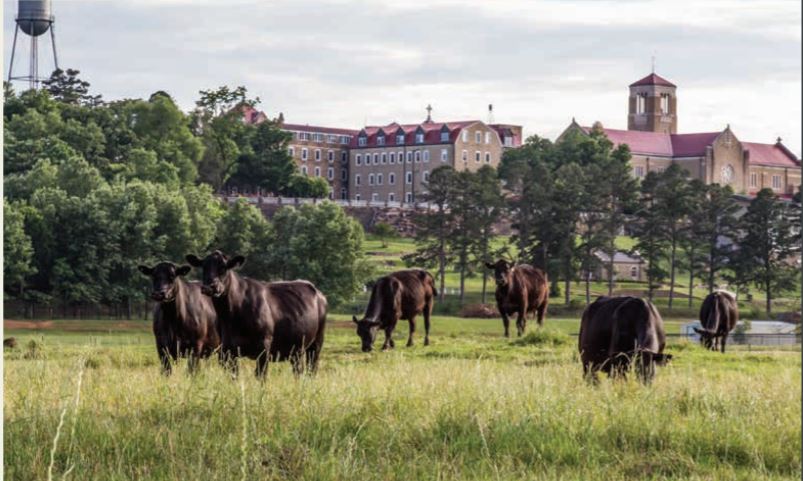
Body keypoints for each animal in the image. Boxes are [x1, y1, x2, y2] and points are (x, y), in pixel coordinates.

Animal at [187, 249, 328, 376]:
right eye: (204, 267)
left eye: (224, 267)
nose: (209, 287)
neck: (231, 316)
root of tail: (317, 291)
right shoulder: (227, 350)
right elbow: (234, 376)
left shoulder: (264, 346)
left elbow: (261, 375)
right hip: (296, 349)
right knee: (298, 370)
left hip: (316, 343)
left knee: (312, 369)